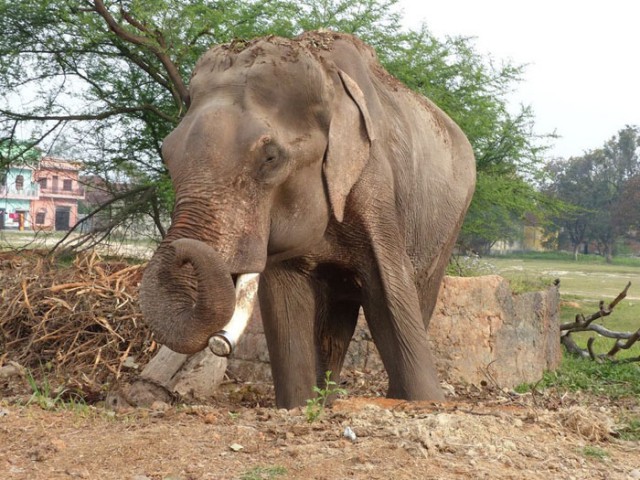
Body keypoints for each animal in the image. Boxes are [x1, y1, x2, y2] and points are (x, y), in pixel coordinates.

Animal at [139, 30, 476, 406]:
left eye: (270, 157)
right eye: (166, 155)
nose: (182, 252)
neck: (326, 75)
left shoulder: (374, 182)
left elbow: (389, 296)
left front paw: (425, 401)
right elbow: (286, 308)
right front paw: (301, 405)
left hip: (451, 219)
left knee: (419, 294)